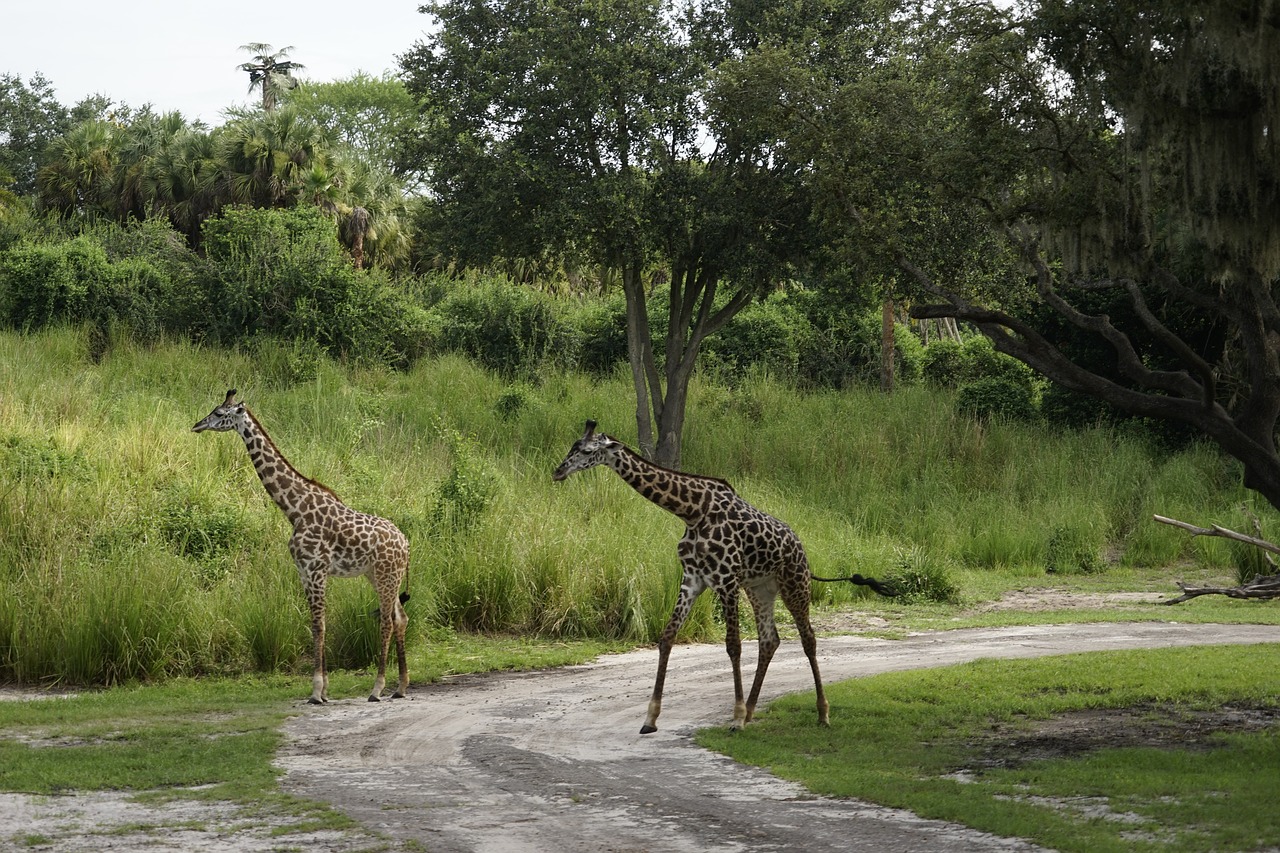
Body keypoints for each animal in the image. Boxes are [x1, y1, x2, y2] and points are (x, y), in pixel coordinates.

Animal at [192, 389, 409, 701]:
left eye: (220, 414)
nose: (197, 425)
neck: (294, 509)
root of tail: (406, 543)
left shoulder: (316, 569)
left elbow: (318, 624)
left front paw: (317, 691)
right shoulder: (304, 571)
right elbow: (317, 624)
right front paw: (324, 689)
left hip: (386, 575)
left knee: (387, 621)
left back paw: (377, 688)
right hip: (378, 574)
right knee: (400, 617)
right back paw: (401, 687)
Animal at [552, 417, 901, 732]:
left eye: (586, 451)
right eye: (573, 446)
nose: (557, 471)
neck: (692, 511)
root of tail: (802, 551)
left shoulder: (726, 580)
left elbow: (733, 645)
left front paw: (734, 717)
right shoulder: (693, 581)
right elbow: (667, 638)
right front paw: (650, 719)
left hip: (794, 585)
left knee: (808, 640)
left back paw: (821, 713)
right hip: (760, 589)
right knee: (770, 640)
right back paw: (751, 711)